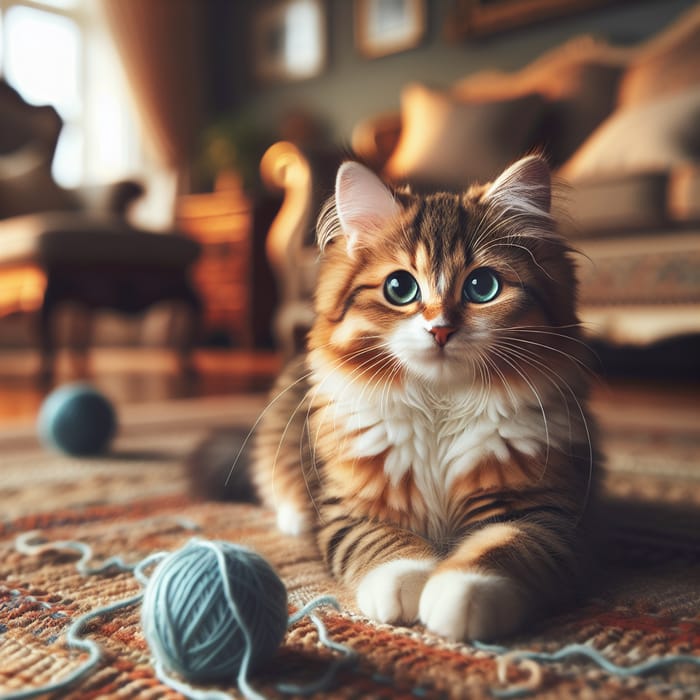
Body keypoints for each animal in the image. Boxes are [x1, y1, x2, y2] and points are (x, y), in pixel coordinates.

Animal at [250, 156, 596, 644]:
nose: (440, 329)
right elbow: (383, 544)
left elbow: (503, 548)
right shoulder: (349, 507)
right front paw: (404, 583)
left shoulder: (541, 507)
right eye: (400, 288)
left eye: (483, 286)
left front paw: (461, 593)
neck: (439, 406)